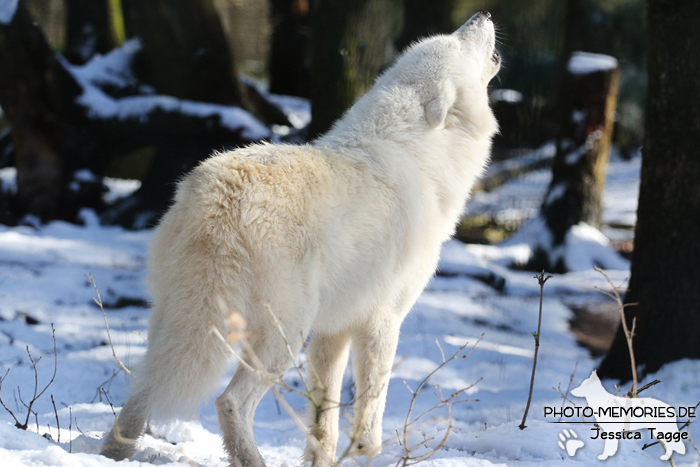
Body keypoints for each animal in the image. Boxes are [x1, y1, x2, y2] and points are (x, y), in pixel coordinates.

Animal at [101, 11, 500, 467]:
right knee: (229, 402)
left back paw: (114, 451)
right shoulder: (382, 321)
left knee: (142, 387)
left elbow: (324, 422)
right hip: (284, 335)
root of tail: (218, 198)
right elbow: (370, 413)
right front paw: (365, 452)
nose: (483, 14)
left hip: (180, 321)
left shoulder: (332, 331)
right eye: (458, 42)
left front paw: (322, 460)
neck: (422, 157)